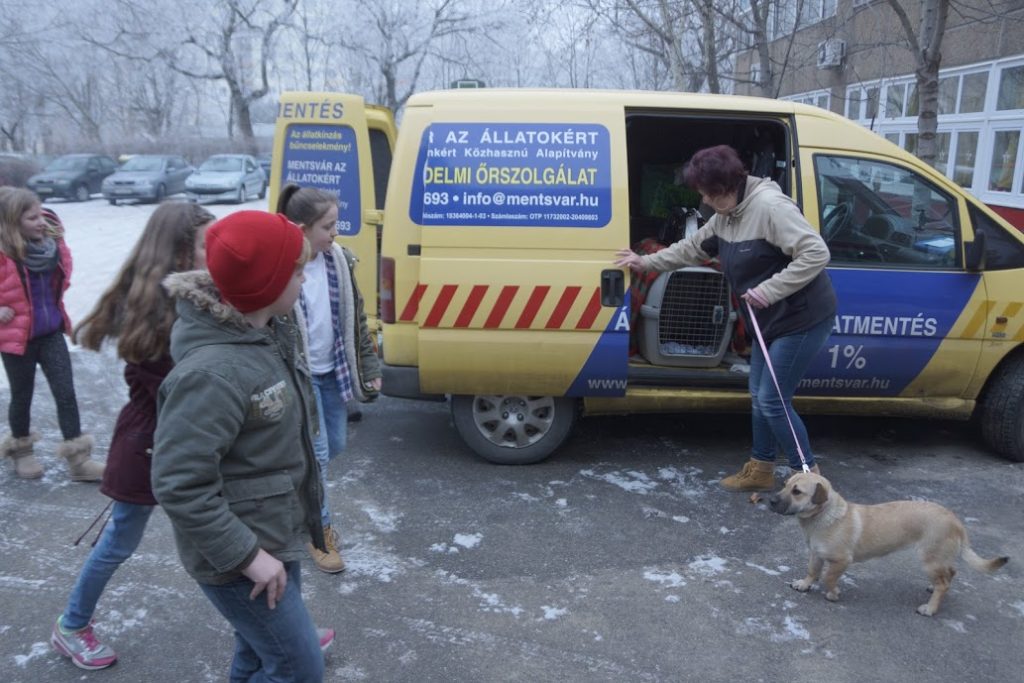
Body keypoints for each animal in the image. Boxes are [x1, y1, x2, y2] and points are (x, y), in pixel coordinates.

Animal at [769, 472, 1008, 616]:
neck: (824, 515)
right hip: (938, 560)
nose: (771, 500)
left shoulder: (841, 561)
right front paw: (805, 584)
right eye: (784, 485)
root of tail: (956, 521)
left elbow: (828, 578)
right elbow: (812, 571)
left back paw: (930, 608)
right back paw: (934, 589)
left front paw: (833, 594)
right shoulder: (816, 554)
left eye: (797, 492)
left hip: (930, 560)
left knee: (944, 583)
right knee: (950, 574)